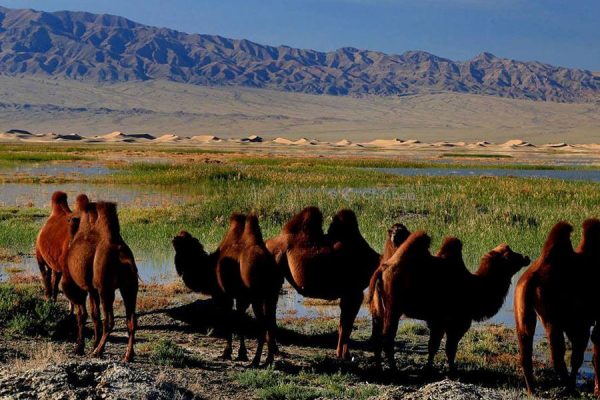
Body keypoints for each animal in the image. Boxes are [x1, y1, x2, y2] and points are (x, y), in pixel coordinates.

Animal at [63, 200, 138, 362]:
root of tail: (124, 258)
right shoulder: (92, 289)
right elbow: (94, 315)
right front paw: (92, 344)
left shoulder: (81, 287)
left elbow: (83, 315)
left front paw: (80, 347)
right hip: (129, 287)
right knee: (131, 321)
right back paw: (127, 355)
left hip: (106, 288)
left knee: (109, 321)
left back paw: (98, 351)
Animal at [169, 214, 282, 368]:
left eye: (180, 246)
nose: (173, 238)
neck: (209, 267)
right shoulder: (241, 297)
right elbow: (239, 320)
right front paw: (241, 354)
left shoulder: (224, 296)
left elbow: (229, 321)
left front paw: (228, 353)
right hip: (271, 296)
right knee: (270, 323)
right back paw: (268, 360)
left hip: (258, 298)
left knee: (263, 324)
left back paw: (256, 361)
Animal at [266, 206, 380, 360]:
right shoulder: (353, 292)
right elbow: (347, 325)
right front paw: (344, 355)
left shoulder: (349, 294)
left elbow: (344, 324)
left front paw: (342, 354)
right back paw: (275, 351)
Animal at [370, 231, 528, 376]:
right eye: (508, 255)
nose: (525, 257)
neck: (475, 288)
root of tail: (383, 269)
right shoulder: (453, 322)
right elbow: (447, 348)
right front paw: (449, 370)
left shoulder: (436, 321)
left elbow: (435, 346)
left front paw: (431, 368)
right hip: (393, 309)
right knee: (387, 339)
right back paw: (394, 370)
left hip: (379, 309)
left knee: (377, 338)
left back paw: (379, 368)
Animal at [512, 220, 600, 396]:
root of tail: (529, 280)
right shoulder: (583, 321)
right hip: (554, 318)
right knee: (561, 355)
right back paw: (571, 388)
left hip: (523, 312)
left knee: (525, 349)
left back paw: (533, 390)